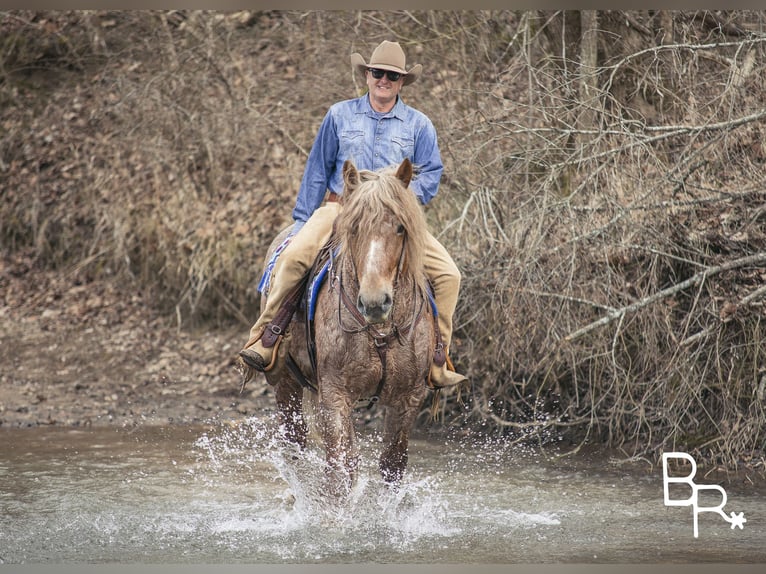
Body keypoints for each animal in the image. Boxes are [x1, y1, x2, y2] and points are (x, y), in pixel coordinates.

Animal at [256, 158, 436, 500]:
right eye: (353, 228)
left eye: (400, 227)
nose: (375, 302)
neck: (379, 332)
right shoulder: (334, 393)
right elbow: (340, 468)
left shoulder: (408, 397)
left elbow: (392, 464)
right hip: (286, 382)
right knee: (296, 446)